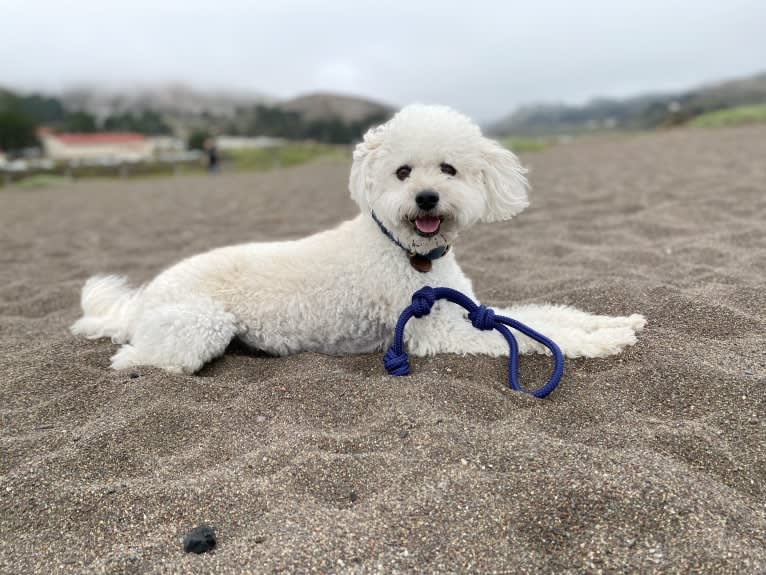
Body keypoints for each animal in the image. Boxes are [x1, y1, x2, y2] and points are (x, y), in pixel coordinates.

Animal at [72, 104, 648, 376]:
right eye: (402, 172)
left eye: (448, 168)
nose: (426, 199)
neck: (408, 254)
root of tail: (141, 300)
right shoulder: (436, 332)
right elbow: (534, 335)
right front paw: (601, 342)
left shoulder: (469, 309)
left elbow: (542, 316)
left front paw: (614, 323)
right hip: (200, 325)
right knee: (135, 358)